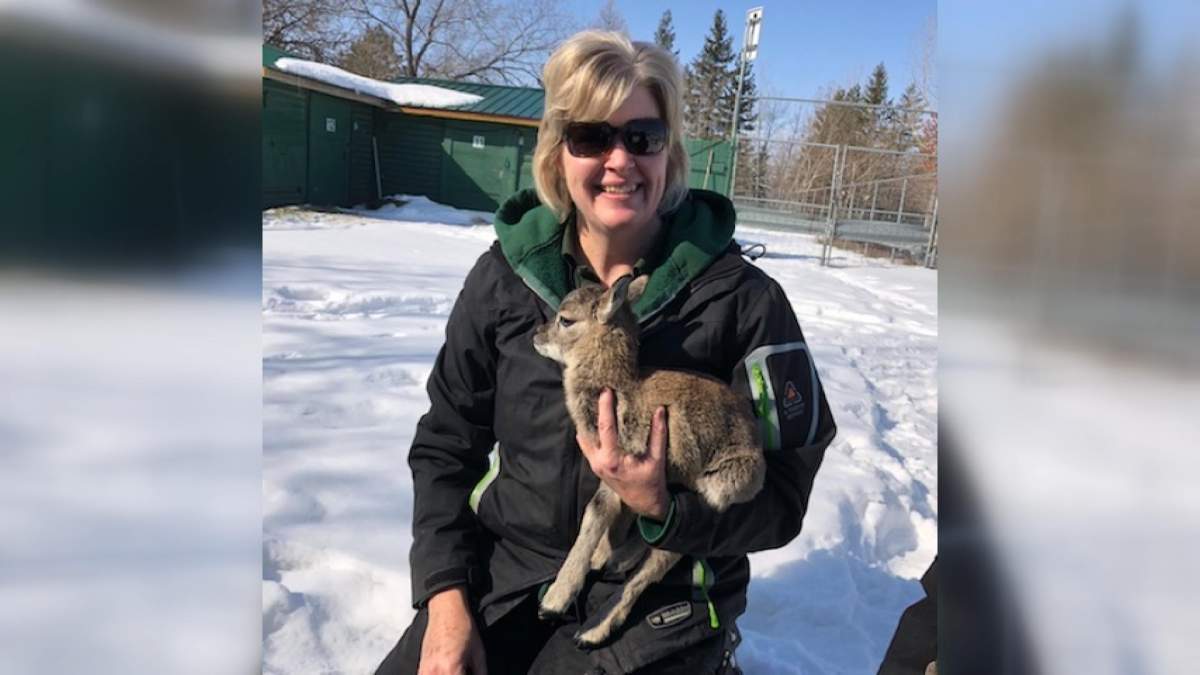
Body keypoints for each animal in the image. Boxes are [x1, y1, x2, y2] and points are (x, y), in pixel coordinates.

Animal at [532, 274, 765, 646]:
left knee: (653, 566)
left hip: (711, 496)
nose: (536, 335)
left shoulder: (621, 464)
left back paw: (592, 631)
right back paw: (613, 560)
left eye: (565, 319)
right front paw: (601, 554)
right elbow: (609, 513)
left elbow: (594, 514)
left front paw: (555, 600)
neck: (615, 387)